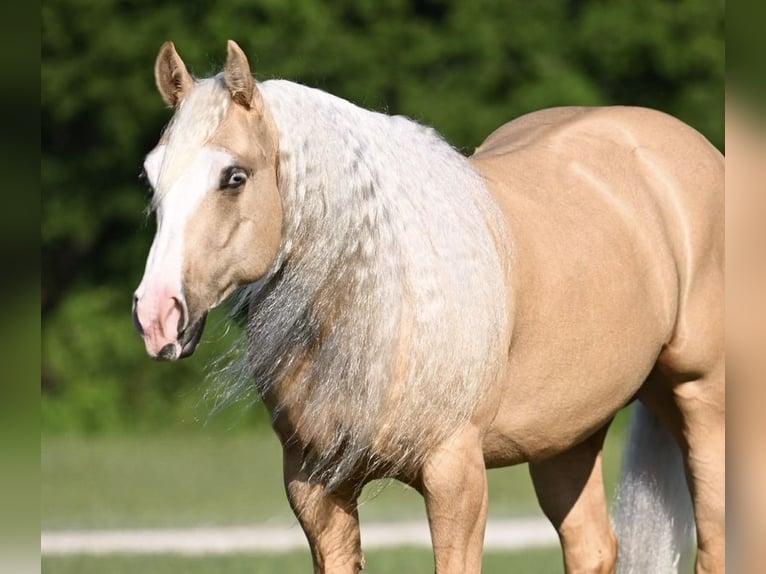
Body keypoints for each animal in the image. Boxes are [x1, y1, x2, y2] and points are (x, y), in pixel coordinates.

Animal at [133, 40, 724, 573]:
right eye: (151, 174)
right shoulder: (314, 487)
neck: (383, 300)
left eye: (234, 177)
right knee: (592, 547)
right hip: (569, 434)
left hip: (700, 400)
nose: (156, 315)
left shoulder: (454, 476)